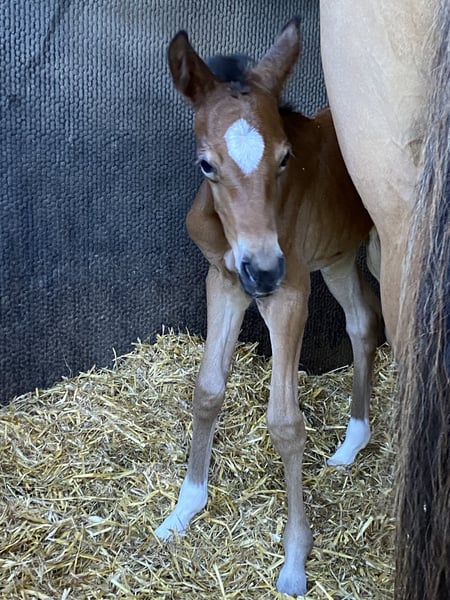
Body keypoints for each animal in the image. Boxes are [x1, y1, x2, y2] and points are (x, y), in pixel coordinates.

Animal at [155, 19, 382, 596]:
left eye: (284, 158)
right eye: (205, 164)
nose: (262, 268)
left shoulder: (290, 291)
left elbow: (285, 422)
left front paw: (296, 560)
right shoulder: (224, 281)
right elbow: (208, 389)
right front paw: (183, 510)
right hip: (339, 258)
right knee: (363, 323)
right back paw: (351, 445)